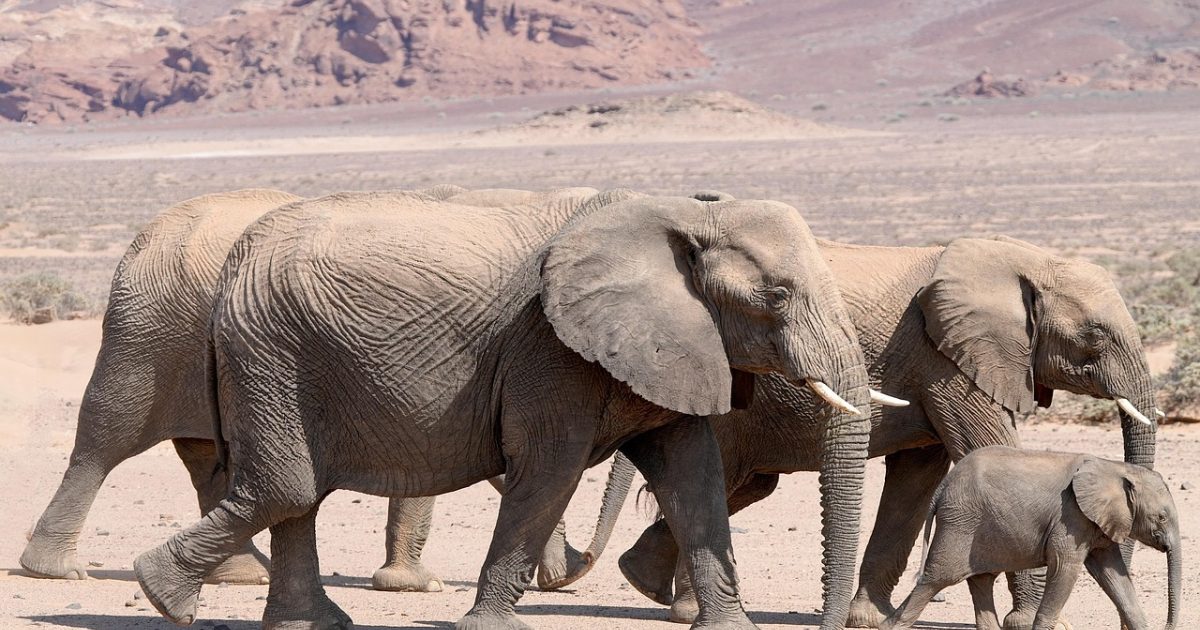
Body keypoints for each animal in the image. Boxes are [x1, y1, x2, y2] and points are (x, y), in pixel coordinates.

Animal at [19, 183, 624, 592]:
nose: (567, 574)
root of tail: (143, 238)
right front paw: (419, 586)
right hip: (146, 333)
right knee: (107, 439)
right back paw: (58, 571)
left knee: (207, 454)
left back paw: (243, 576)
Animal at [131, 189, 875, 630]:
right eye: (777, 297)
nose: (830, 622)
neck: (685, 212)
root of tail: (236, 260)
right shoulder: (549, 350)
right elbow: (549, 472)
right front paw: (489, 626)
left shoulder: (679, 341)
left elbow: (694, 475)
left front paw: (729, 629)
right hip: (272, 353)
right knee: (287, 487)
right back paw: (161, 595)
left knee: (296, 493)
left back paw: (307, 622)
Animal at [881, 445, 1181, 630]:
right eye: (1162, 517)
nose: (1167, 626)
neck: (1116, 468)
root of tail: (943, 486)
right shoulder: (1070, 517)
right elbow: (1064, 568)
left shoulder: (1096, 522)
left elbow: (1112, 574)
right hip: (960, 522)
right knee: (936, 579)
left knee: (980, 580)